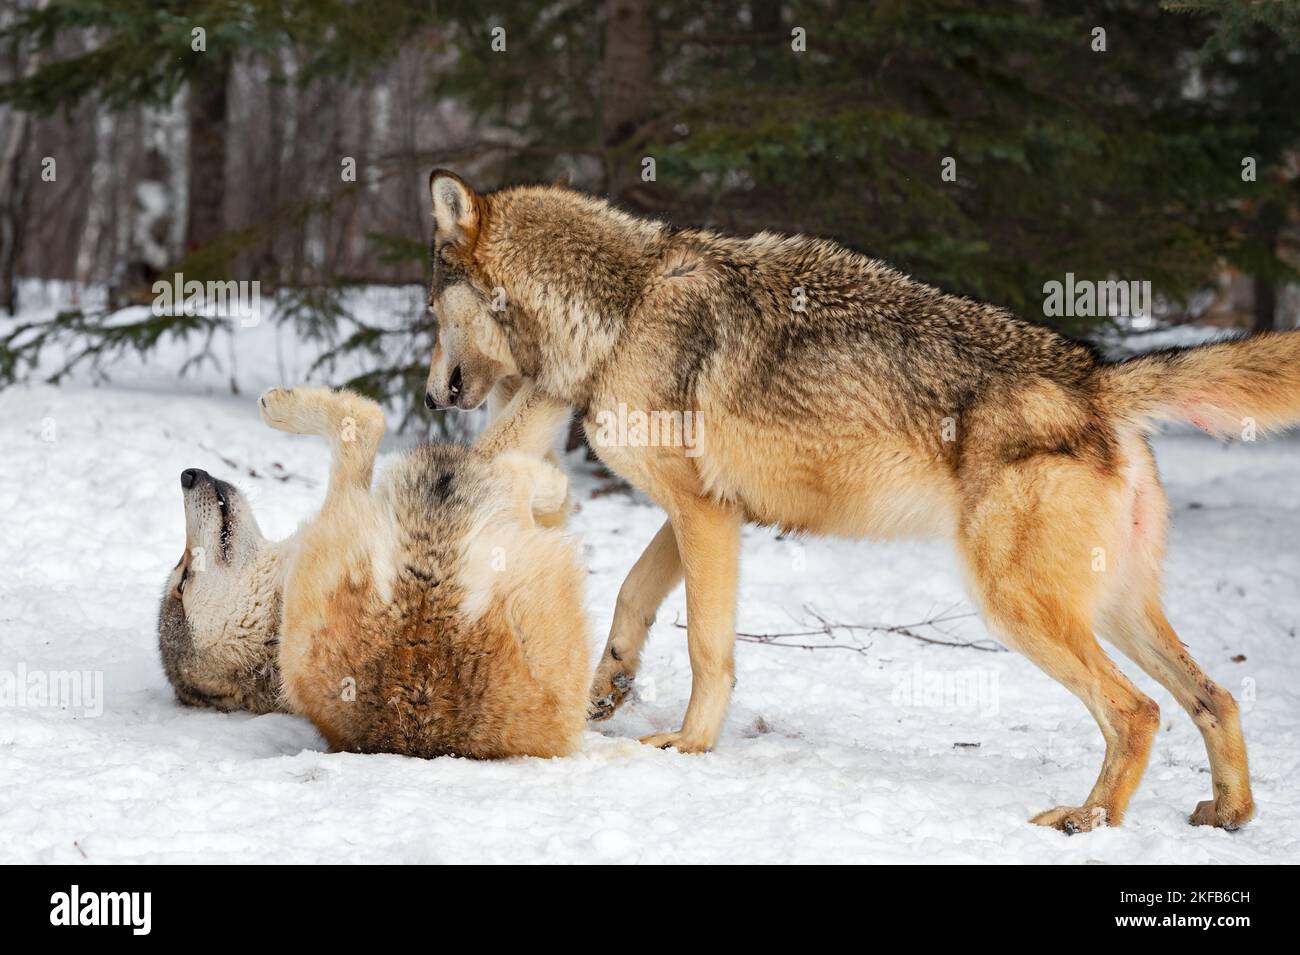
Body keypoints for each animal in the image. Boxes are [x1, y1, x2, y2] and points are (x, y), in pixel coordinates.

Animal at [421, 169, 1300, 831]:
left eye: (430, 311)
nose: (432, 396)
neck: (623, 306)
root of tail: (1094, 374)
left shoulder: (704, 512)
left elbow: (708, 648)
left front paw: (690, 744)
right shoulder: (712, 509)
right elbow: (634, 595)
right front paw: (610, 684)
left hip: (1017, 608)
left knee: (1138, 709)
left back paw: (1088, 820)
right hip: (1111, 607)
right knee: (1216, 696)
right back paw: (1228, 813)